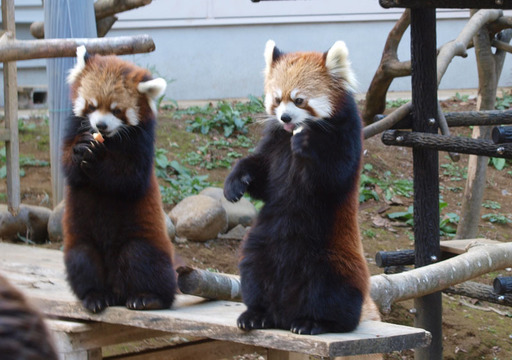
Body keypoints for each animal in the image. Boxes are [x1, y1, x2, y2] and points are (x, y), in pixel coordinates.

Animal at [62, 46, 176, 314]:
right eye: (91, 106)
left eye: (117, 110)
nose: (100, 125)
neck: (110, 140)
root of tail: (117, 290)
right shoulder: (72, 128)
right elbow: (69, 168)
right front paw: (81, 149)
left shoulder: (142, 142)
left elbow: (129, 179)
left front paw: (97, 158)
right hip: (80, 245)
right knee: (82, 261)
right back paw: (95, 297)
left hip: (145, 244)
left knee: (141, 257)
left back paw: (149, 298)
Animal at [224, 40, 380, 336]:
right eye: (277, 99)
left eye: (299, 100)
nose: (285, 117)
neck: (291, 137)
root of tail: (286, 313)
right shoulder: (274, 143)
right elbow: (260, 176)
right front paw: (234, 183)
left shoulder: (347, 137)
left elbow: (333, 177)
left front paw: (306, 144)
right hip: (259, 244)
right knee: (252, 269)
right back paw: (256, 314)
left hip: (333, 258)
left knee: (333, 294)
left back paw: (315, 322)